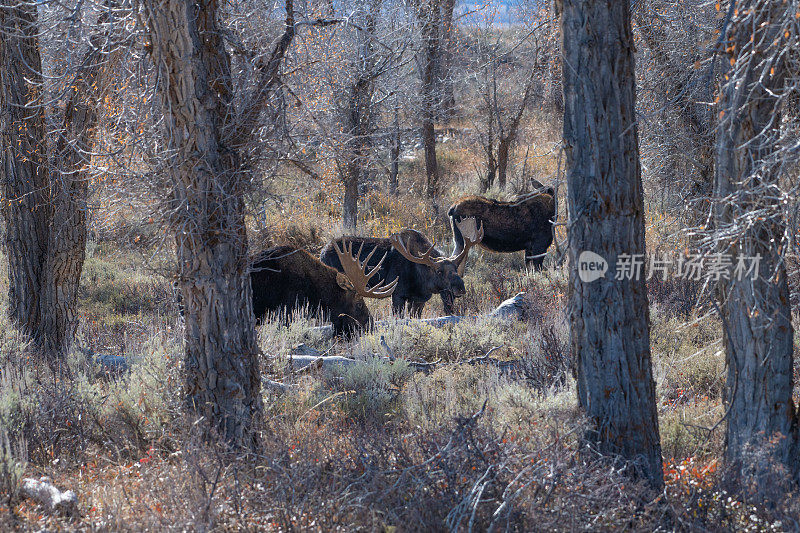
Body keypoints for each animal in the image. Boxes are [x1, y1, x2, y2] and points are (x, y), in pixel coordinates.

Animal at [318, 217, 482, 316]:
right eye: (439, 271)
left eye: (456, 269)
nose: (460, 287)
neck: (421, 280)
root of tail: (321, 252)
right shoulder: (397, 295)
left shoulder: (420, 300)